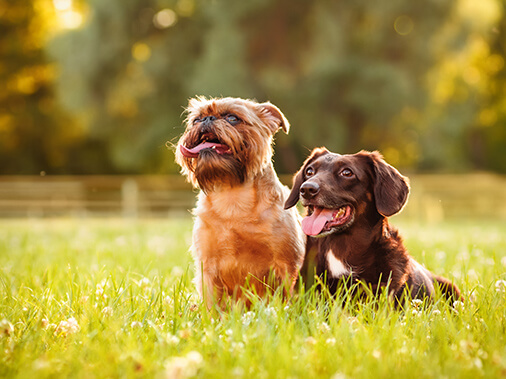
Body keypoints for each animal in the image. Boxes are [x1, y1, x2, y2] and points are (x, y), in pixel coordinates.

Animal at [175, 95, 304, 308]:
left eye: (232, 118)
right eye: (196, 120)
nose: (207, 119)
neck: (232, 195)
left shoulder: (287, 265)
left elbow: (286, 299)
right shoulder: (207, 268)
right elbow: (211, 307)